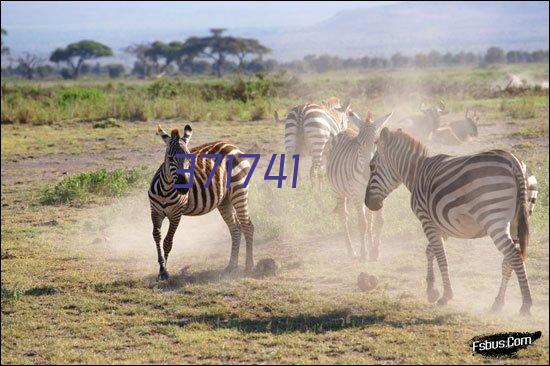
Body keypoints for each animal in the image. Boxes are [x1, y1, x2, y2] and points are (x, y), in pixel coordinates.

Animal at [150, 124, 256, 278]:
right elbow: (156, 237)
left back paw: (249, 266)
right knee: (235, 229)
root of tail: (232, 146)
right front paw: (161, 268)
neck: (166, 189)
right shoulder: (155, 213)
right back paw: (231, 266)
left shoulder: (176, 214)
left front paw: (165, 272)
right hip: (224, 201)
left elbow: (168, 241)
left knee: (248, 226)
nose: (183, 187)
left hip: (239, 191)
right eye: (170, 158)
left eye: (189, 158)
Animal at [326, 111, 394, 260]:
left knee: (369, 218)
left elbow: (379, 221)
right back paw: (351, 251)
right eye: (359, 144)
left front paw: (375, 251)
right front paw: (364, 253)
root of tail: (344, 130)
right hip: (338, 192)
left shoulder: (381, 194)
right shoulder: (356, 194)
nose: (367, 174)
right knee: (344, 217)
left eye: (376, 143)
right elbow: (362, 224)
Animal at [366, 128, 540, 314]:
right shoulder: (441, 226)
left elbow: (441, 256)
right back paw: (498, 303)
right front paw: (431, 290)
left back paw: (526, 305)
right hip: (517, 222)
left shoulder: (426, 220)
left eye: (372, 166)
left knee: (513, 256)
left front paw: (445, 295)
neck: (417, 172)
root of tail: (514, 161)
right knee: (510, 260)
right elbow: (430, 251)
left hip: (494, 219)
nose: (368, 203)